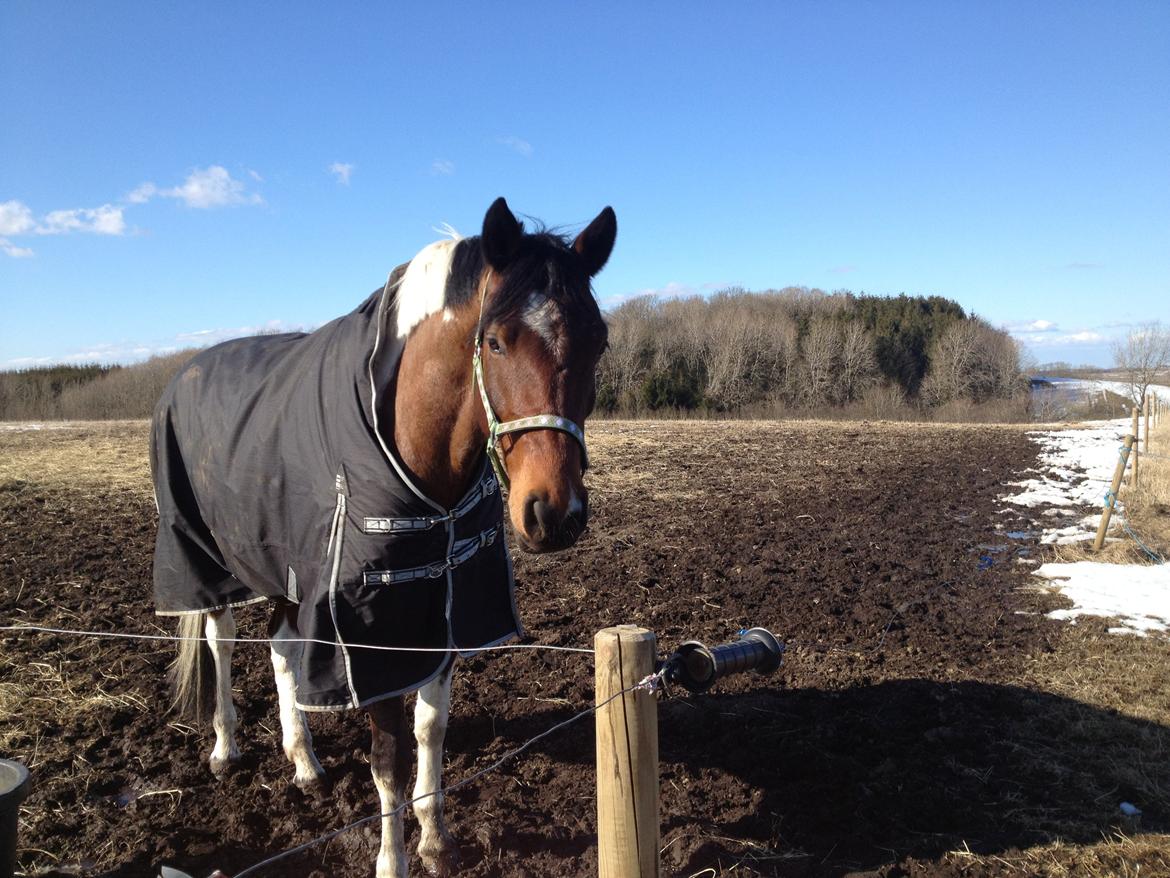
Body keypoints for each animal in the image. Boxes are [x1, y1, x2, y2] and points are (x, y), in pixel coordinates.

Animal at [150, 199, 617, 878]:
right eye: (496, 341)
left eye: (597, 342)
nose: (555, 513)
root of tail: (184, 372)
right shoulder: (372, 636)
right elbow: (388, 761)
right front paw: (392, 860)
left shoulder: (441, 614)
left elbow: (430, 731)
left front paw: (436, 839)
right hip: (208, 563)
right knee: (223, 642)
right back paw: (225, 748)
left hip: (285, 568)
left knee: (281, 649)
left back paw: (304, 761)